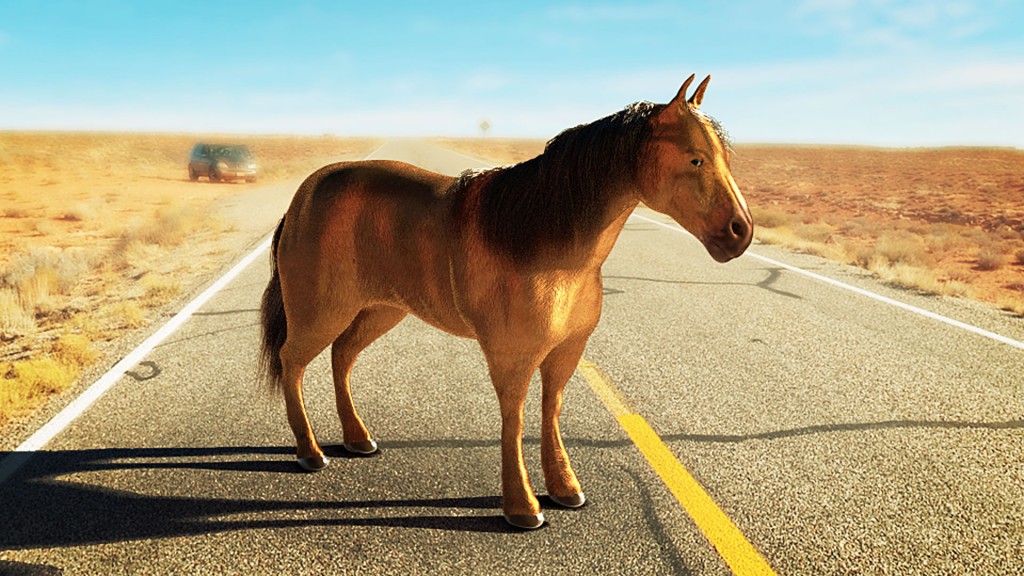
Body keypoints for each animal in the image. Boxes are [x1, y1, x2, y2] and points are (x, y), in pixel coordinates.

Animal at [258, 74, 752, 530]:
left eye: (725, 157)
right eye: (695, 158)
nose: (740, 232)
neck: (545, 242)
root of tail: (303, 198)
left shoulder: (567, 351)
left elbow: (551, 408)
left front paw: (566, 490)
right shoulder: (512, 355)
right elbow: (513, 419)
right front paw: (523, 508)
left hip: (381, 309)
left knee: (342, 356)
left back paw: (359, 440)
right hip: (323, 311)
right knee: (293, 361)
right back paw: (310, 453)